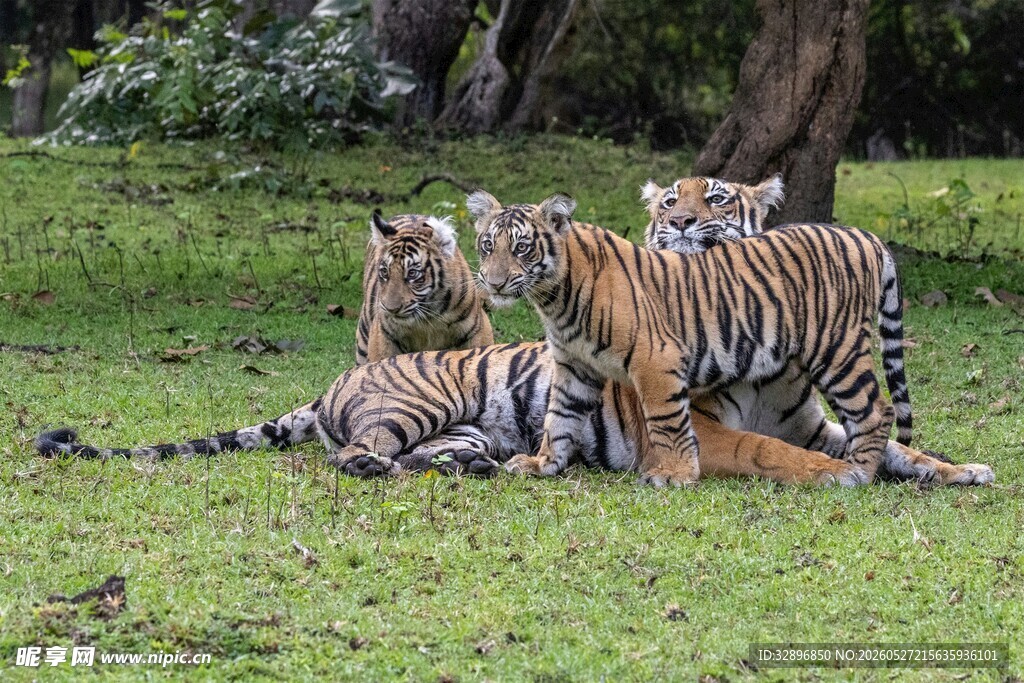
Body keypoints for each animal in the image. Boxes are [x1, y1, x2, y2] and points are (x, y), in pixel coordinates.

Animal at [354, 212, 493, 365]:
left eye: (412, 273)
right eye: (385, 272)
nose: (391, 309)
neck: (429, 317)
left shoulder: (478, 331)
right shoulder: (383, 336)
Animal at [470, 190, 916, 487]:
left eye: (522, 248)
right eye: (488, 245)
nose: (493, 282)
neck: (553, 298)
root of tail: (865, 235)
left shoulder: (655, 360)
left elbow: (667, 422)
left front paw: (675, 475)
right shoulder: (574, 367)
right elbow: (559, 419)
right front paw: (543, 464)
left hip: (837, 348)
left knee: (877, 412)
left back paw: (858, 472)